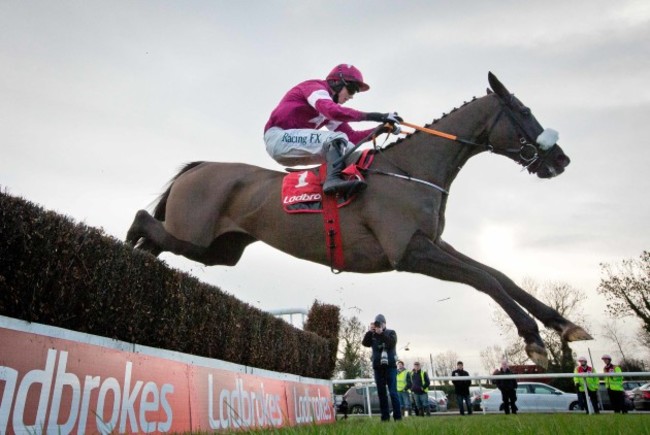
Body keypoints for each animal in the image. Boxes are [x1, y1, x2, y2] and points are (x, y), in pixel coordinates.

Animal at [128, 73, 592, 366]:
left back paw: (140, 262)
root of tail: (198, 167)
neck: (409, 170)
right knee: (143, 221)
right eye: (523, 111)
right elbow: (484, 280)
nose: (561, 160)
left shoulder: (433, 243)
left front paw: (565, 325)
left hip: (219, 250)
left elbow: (500, 275)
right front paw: (534, 340)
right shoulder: (409, 251)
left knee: (159, 242)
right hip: (196, 236)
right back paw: (126, 244)